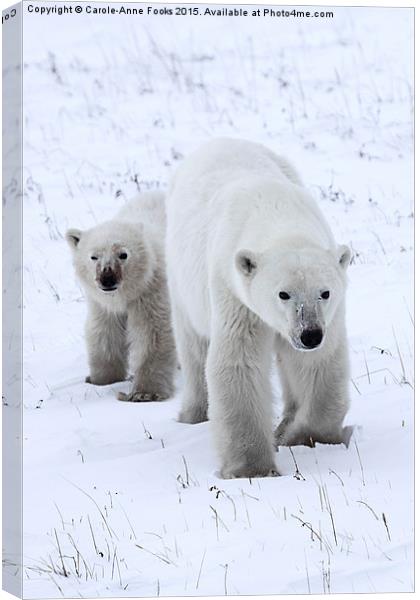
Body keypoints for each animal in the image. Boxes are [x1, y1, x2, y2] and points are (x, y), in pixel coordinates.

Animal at [65, 190, 176, 400]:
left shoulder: (151, 292)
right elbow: (105, 332)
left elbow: (152, 332)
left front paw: (144, 394)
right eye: (94, 256)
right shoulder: (102, 304)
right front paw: (101, 380)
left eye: (123, 254)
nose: (107, 279)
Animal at [166, 139, 352, 478]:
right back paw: (193, 413)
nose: (309, 335)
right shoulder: (235, 293)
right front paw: (253, 468)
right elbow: (239, 363)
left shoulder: (330, 315)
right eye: (283, 294)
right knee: (193, 343)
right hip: (180, 275)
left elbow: (319, 364)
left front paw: (299, 434)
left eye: (325, 292)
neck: (276, 212)